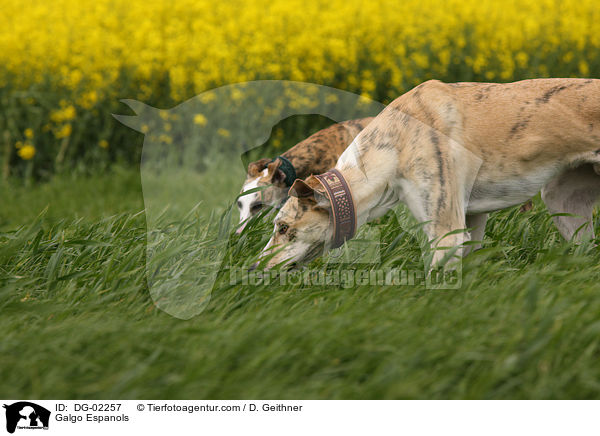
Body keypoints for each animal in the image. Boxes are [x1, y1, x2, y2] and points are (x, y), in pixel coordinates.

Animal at [260, 79, 600, 270]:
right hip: (563, 203)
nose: (253, 268)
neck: (397, 137)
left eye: (283, 227)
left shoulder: (446, 233)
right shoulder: (471, 220)